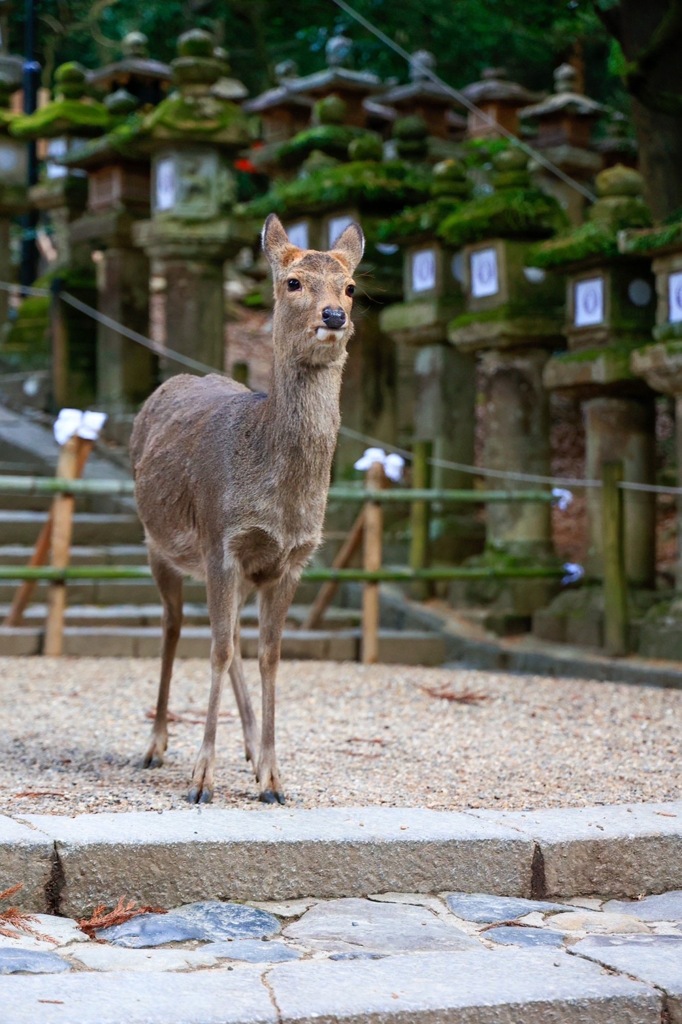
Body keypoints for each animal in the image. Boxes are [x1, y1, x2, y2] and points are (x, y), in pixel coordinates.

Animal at [127, 218, 360, 806]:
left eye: (350, 286)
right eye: (293, 282)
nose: (334, 316)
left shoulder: (291, 558)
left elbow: (268, 656)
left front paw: (274, 778)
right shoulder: (220, 541)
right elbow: (213, 651)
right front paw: (201, 780)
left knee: (230, 638)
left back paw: (252, 750)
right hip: (157, 543)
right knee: (174, 626)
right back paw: (155, 746)